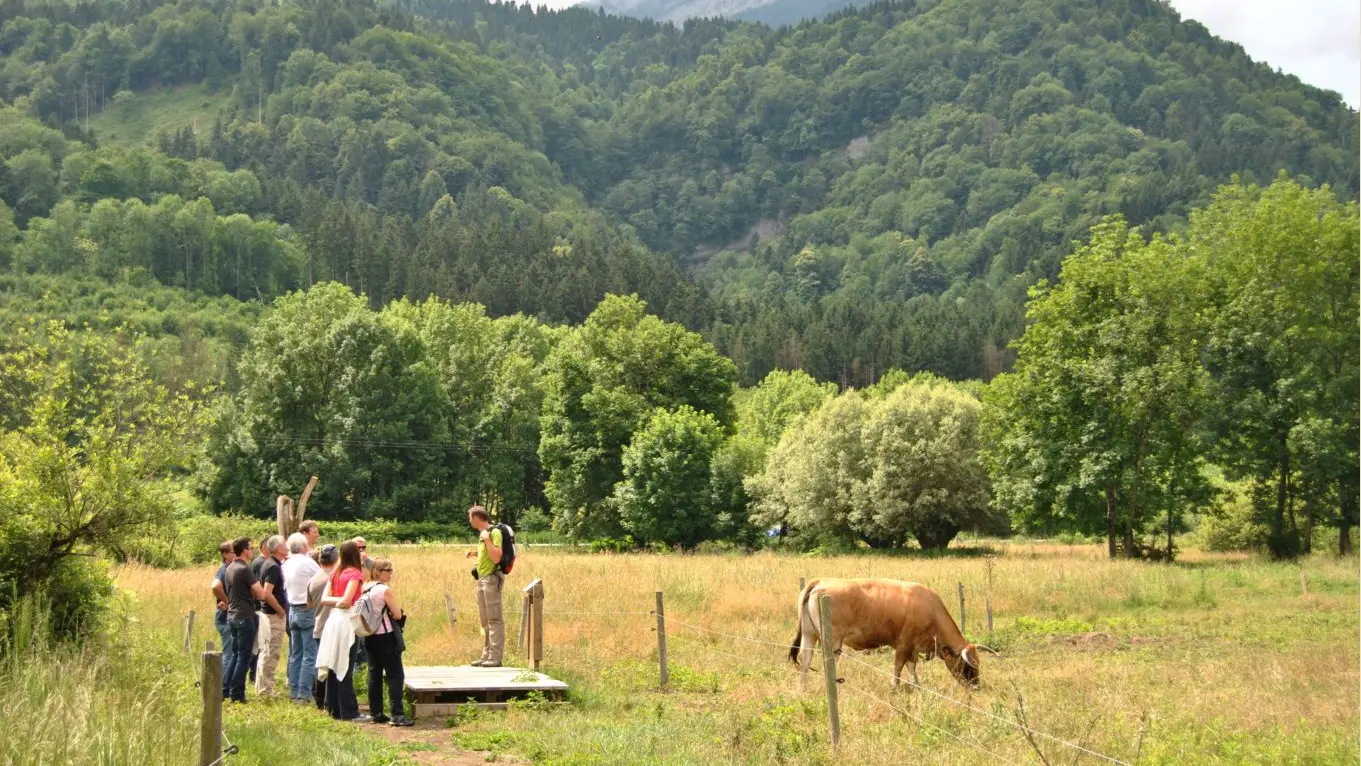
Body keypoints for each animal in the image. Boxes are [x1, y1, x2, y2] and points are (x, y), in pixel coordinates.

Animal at [794, 579, 985, 691]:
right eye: (968, 666)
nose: (976, 686)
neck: (930, 609)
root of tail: (821, 582)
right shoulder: (904, 644)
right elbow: (899, 665)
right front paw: (895, 686)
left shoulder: (913, 648)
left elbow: (911, 666)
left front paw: (915, 684)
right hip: (832, 640)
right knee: (828, 661)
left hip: (809, 634)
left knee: (805, 659)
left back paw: (803, 688)